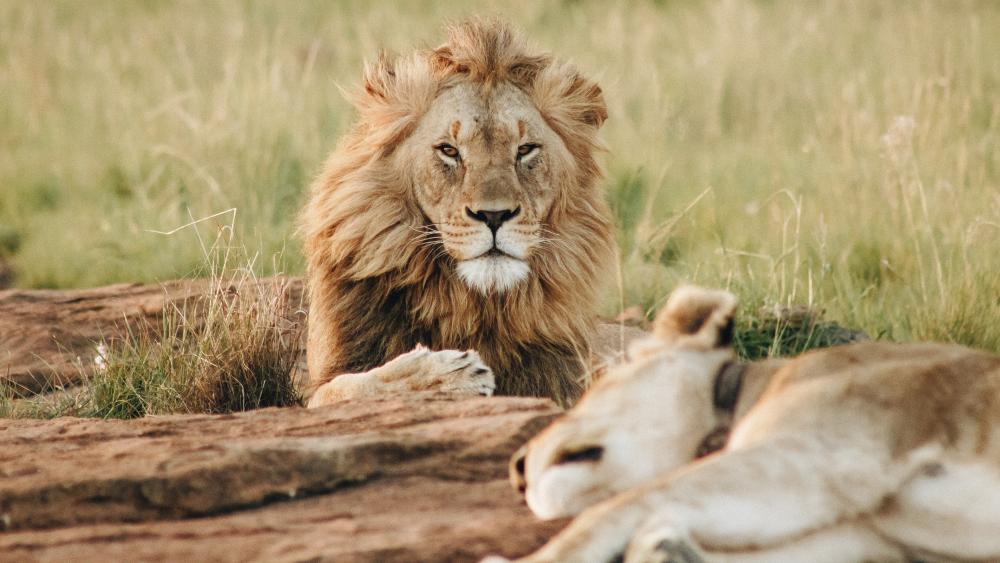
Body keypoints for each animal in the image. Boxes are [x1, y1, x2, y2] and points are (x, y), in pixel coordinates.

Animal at [299, 19, 624, 408]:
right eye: (449, 150)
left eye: (525, 149)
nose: (494, 216)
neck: (471, 305)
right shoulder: (324, 383)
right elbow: (351, 386)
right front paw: (447, 375)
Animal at [491, 285, 1000, 562]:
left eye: (591, 389)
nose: (516, 468)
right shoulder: (866, 538)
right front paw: (667, 551)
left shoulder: (824, 453)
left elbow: (616, 506)